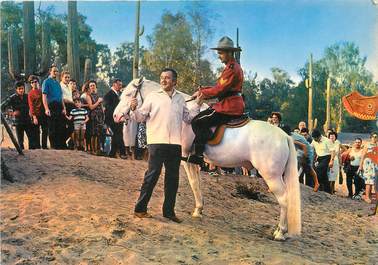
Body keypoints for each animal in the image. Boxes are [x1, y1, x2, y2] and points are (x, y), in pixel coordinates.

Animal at [113, 77, 302, 240]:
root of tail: (285, 136)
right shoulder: (193, 162)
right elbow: (197, 184)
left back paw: (280, 232)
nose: (115, 116)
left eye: (128, 95)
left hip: (272, 176)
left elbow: (193, 184)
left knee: (284, 200)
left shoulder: (185, 160)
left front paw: (197, 210)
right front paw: (199, 209)